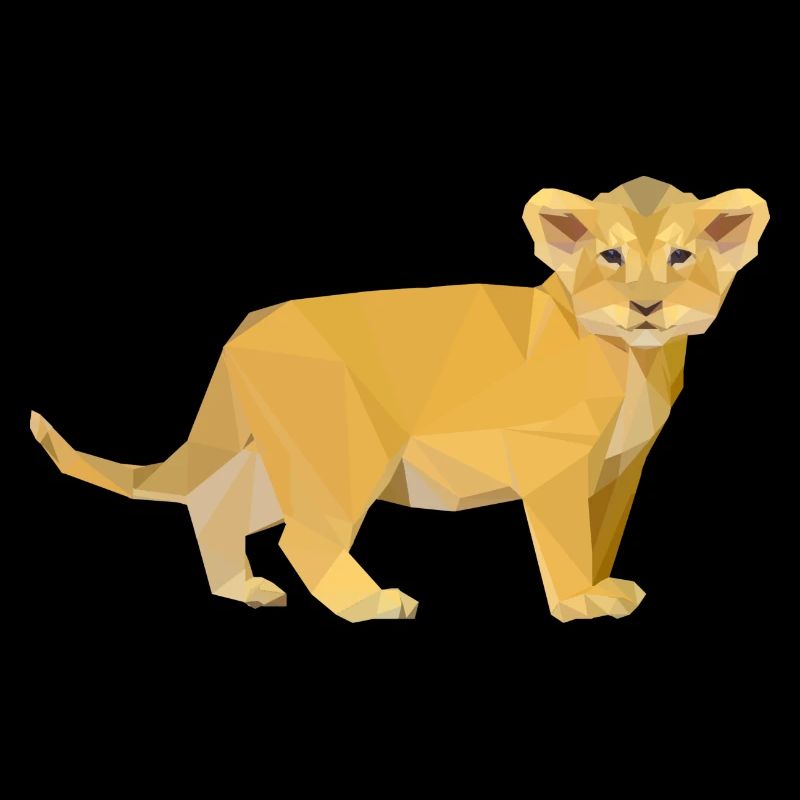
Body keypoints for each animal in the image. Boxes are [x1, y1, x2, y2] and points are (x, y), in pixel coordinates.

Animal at [30, 177, 769, 622]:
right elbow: (565, 541)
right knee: (304, 536)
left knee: (216, 505)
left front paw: (604, 587)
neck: (636, 361)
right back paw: (373, 604)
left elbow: (602, 535)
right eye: (611, 257)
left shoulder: (621, 470)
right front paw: (578, 603)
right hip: (342, 452)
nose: (646, 306)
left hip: (281, 458)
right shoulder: (553, 462)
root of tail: (246, 329)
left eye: (680, 258)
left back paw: (244, 591)